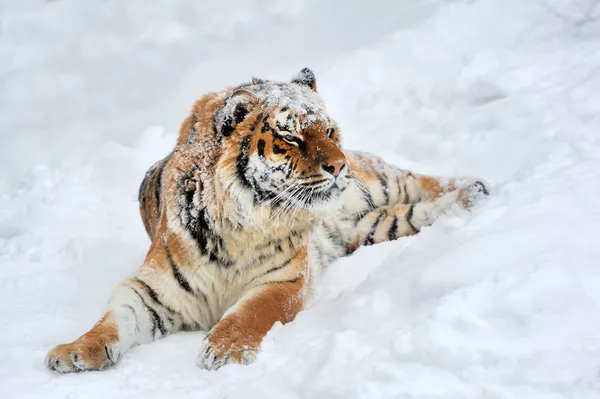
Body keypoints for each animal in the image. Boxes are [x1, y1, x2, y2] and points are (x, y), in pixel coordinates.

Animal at [45, 67, 488, 374]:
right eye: (291, 137)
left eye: (329, 131)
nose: (339, 166)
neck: (240, 224)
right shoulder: (150, 288)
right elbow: (112, 319)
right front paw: (75, 352)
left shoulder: (283, 280)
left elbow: (250, 313)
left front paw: (224, 351)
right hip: (371, 227)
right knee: (413, 212)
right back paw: (467, 200)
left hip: (377, 181)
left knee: (419, 180)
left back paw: (477, 187)